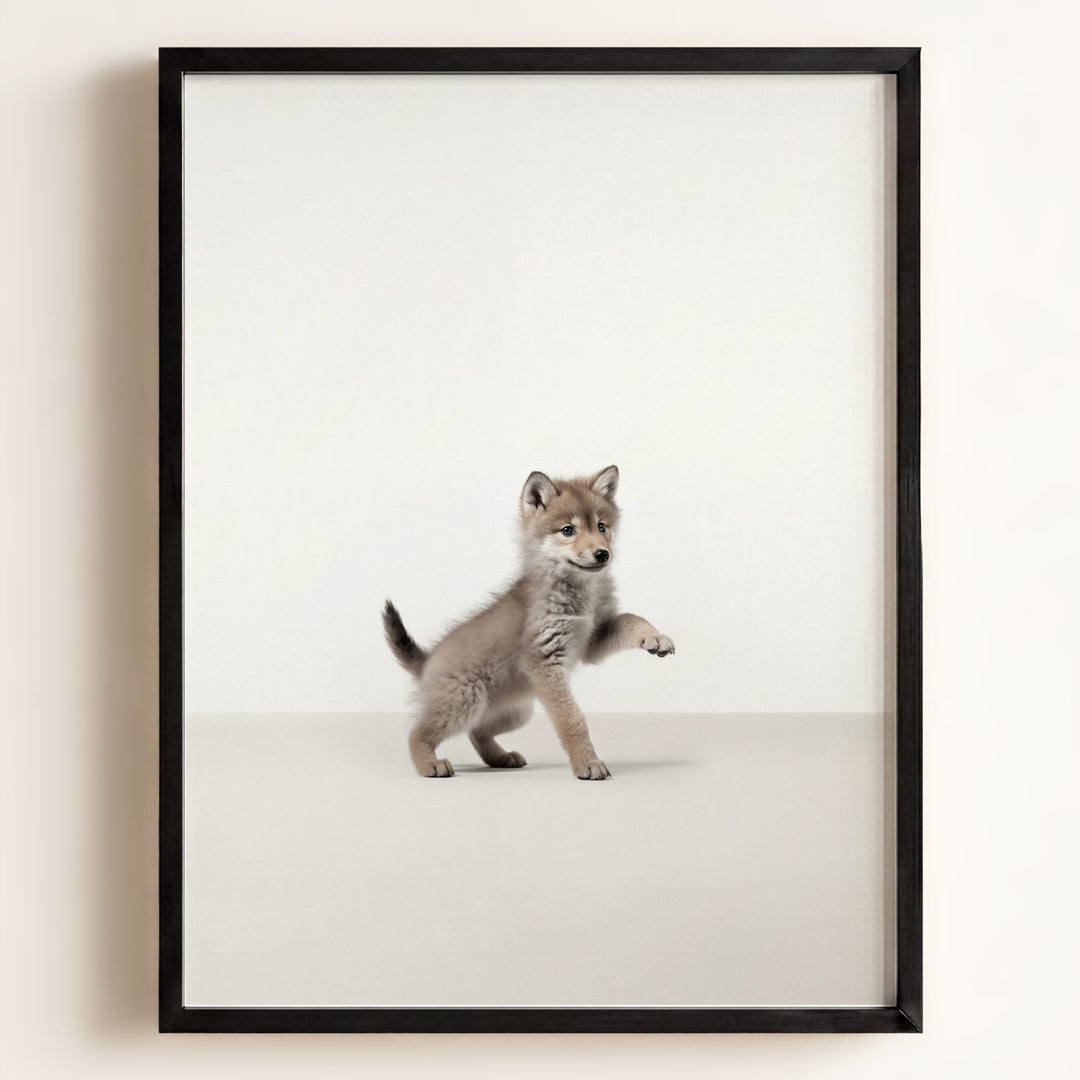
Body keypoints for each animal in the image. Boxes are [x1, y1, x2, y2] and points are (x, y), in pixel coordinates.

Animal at [382, 465, 675, 780]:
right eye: (568, 530)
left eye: (601, 526)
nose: (602, 553)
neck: (579, 592)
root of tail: (427, 661)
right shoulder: (545, 661)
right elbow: (572, 718)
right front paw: (587, 763)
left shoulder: (593, 640)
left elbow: (632, 618)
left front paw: (655, 637)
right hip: (464, 703)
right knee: (417, 733)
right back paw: (429, 764)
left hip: (515, 713)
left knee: (477, 732)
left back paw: (500, 757)